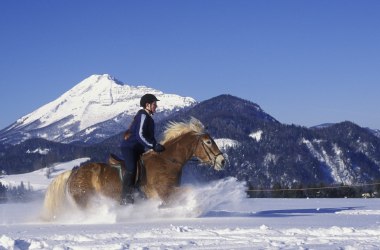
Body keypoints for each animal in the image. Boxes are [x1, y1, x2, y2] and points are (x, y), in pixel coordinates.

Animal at [41, 116, 226, 219]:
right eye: (208, 141)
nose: (222, 161)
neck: (167, 161)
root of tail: (73, 172)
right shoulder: (166, 192)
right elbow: (190, 192)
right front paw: (194, 210)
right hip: (85, 200)